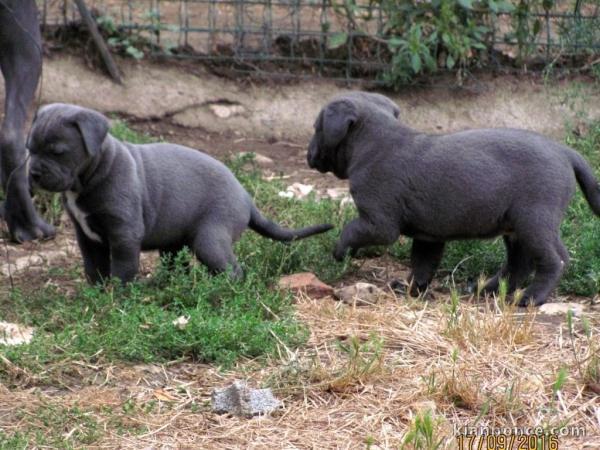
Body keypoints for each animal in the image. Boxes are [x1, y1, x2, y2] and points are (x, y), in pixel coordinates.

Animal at [29, 103, 332, 284]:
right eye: (29, 148)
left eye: (58, 152)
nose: (33, 173)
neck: (93, 173)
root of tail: (245, 197)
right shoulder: (86, 236)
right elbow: (94, 267)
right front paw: (95, 294)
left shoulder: (124, 233)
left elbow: (123, 268)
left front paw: (117, 298)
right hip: (174, 241)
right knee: (179, 265)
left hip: (210, 238)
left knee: (233, 271)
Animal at [308, 92, 600, 308]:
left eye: (315, 127)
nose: (307, 154)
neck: (374, 141)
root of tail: (565, 152)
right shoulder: (428, 236)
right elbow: (422, 266)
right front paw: (410, 290)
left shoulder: (379, 224)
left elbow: (350, 230)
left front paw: (340, 252)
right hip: (517, 226)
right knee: (519, 263)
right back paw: (488, 289)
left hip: (534, 220)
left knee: (555, 260)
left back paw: (531, 297)